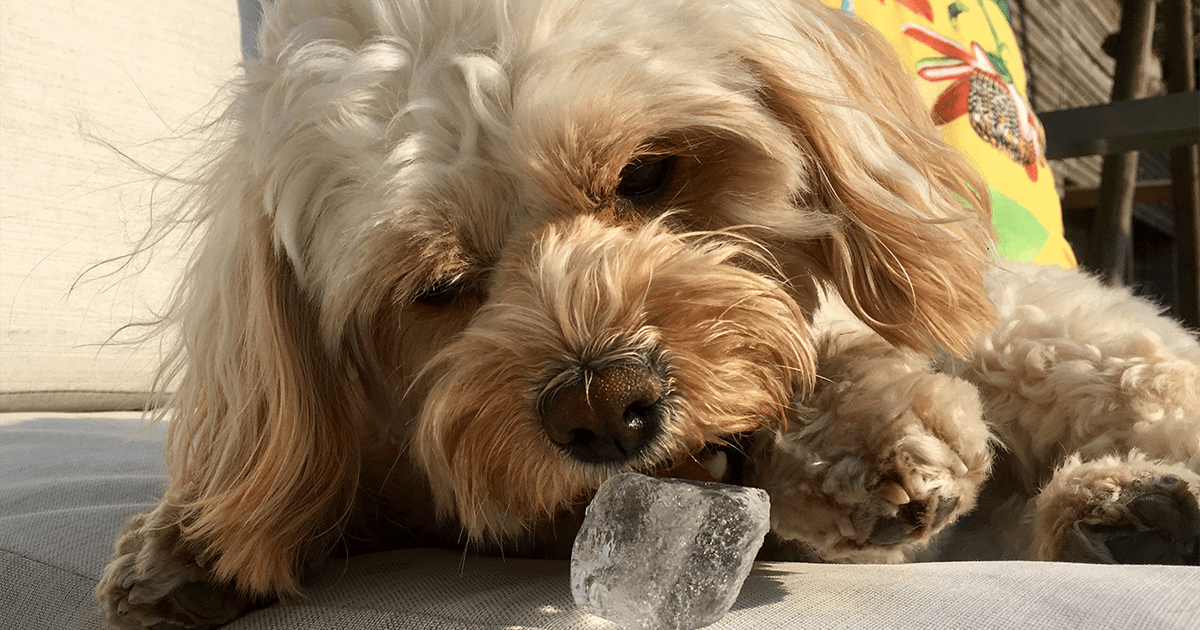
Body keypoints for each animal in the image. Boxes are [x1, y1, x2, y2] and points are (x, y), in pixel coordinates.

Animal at [96, 0, 1200, 624]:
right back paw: (1115, 516)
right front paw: (190, 539)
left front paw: (863, 443)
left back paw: (1132, 501)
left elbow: (827, 362)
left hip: (1062, 346)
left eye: (645, 173)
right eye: (435, 287)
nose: (605, 412)